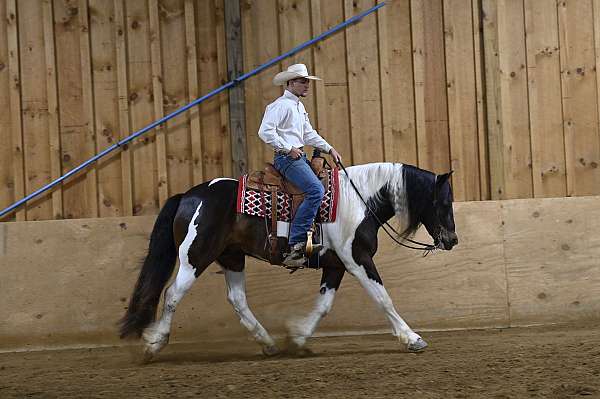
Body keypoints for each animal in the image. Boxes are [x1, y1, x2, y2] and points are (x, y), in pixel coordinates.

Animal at [119, 162, 458, 360]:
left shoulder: (336, 265)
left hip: (232, 257)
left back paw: (268, 342)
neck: (359, 200)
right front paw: (412, 338)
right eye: (443, 202)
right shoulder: (357, 259)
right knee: (173, 294)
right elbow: (383, 298)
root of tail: (188, 196)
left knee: (237, 299)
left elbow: (323, 306)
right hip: (195, 257)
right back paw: (154, 343)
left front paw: (298, 337)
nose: (453, 240)